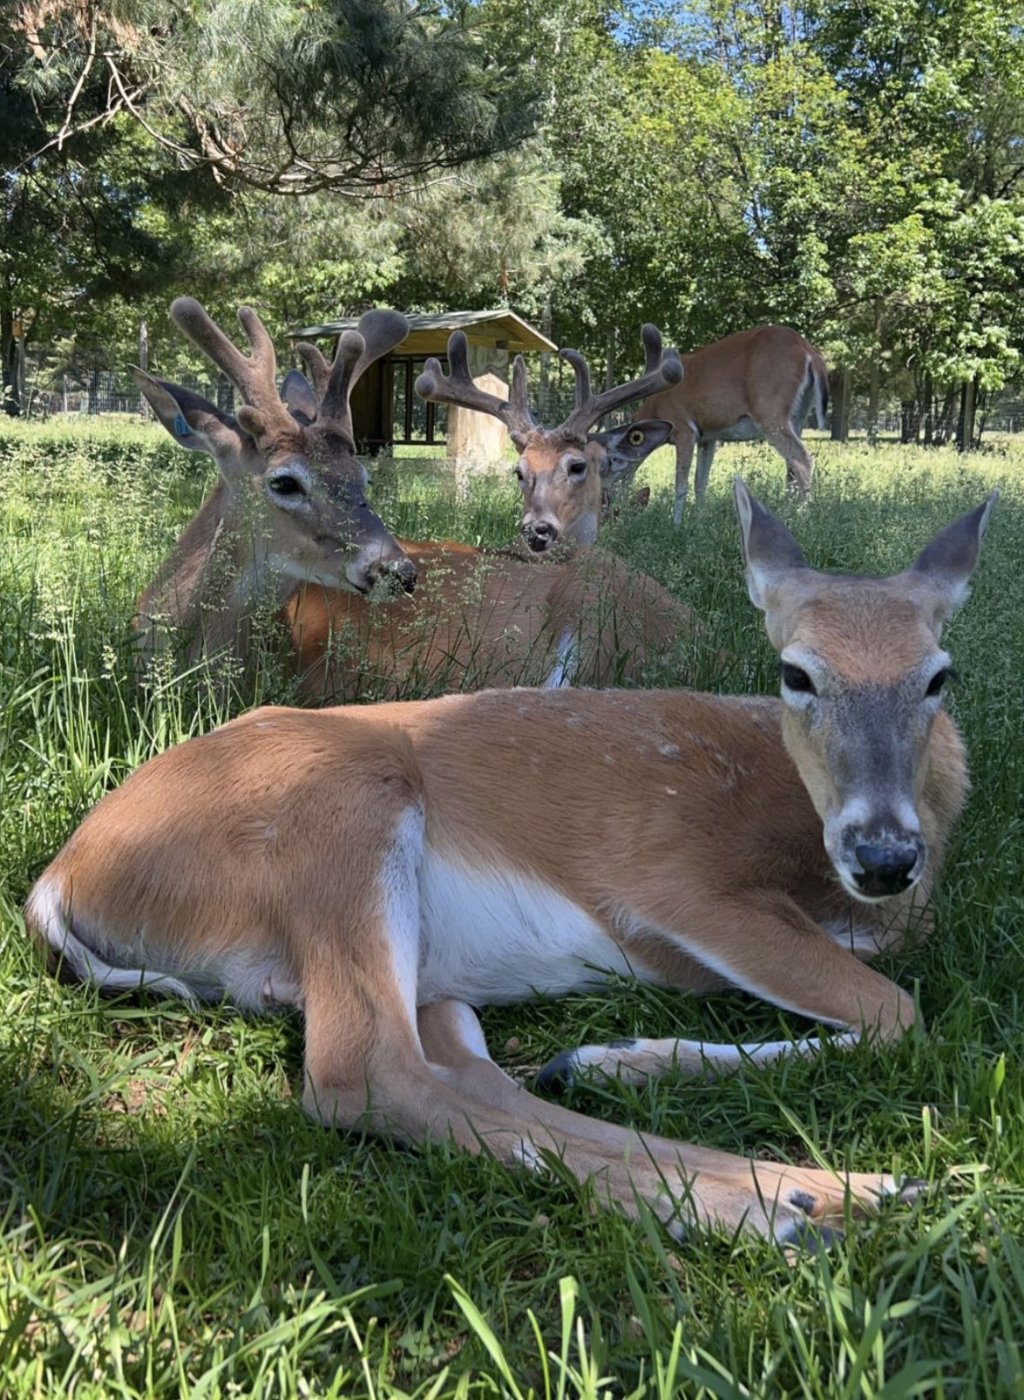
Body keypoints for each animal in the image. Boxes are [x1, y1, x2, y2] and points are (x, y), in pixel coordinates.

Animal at [24, 479, 995, 1246]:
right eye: (797, 673)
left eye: (938, 675)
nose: (884, 856)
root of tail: (61, 874)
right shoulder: (673, 878)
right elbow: (898, 1013)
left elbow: (888, 1013)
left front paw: (614, 1060)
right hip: (340, 809)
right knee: (366, 1073)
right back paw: (791, 1206)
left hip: (422, 966)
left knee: (470, 1075)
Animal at [637, 325, 830, 526]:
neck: (656, 406)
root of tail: (810, 353)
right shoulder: (707, 437)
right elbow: (700, 481)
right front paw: (699, 519)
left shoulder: (684, 430)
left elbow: (681, 483)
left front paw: (676, 524)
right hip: (798, 416)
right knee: (791, 466)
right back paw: (787, 511)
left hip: (770, 411)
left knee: (802, 459)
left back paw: (800, 517)